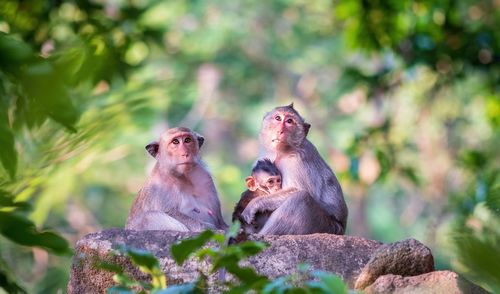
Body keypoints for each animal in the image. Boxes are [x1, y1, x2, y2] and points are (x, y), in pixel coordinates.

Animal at [242, 103, 348, 234]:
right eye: (278, 118)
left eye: (289, 121)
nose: (280, 131)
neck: (282, 152)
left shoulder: (297, 160)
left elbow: (299, 190)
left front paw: (253, 204)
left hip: (325, 226)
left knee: (300, 199)